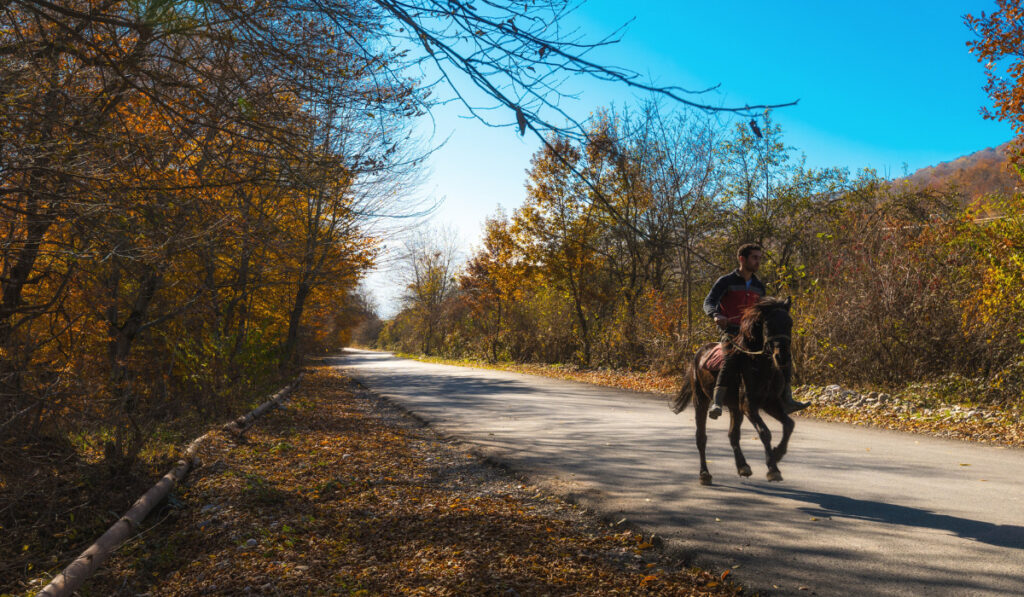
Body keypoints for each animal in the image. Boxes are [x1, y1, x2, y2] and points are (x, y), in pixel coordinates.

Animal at [671, 296, 798, 487]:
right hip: (701, 400)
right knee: (701, 437)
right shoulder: (748, 406)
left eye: (789, 323)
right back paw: (704, 474)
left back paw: (743, 466)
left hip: (734, 408)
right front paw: (773, 469)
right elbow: (765, 432)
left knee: (733, 435)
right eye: (768, 324)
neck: (760, 365)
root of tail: (698, 354)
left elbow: (789, 425)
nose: (782, 357)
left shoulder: (770, 404)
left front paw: (777, 454)